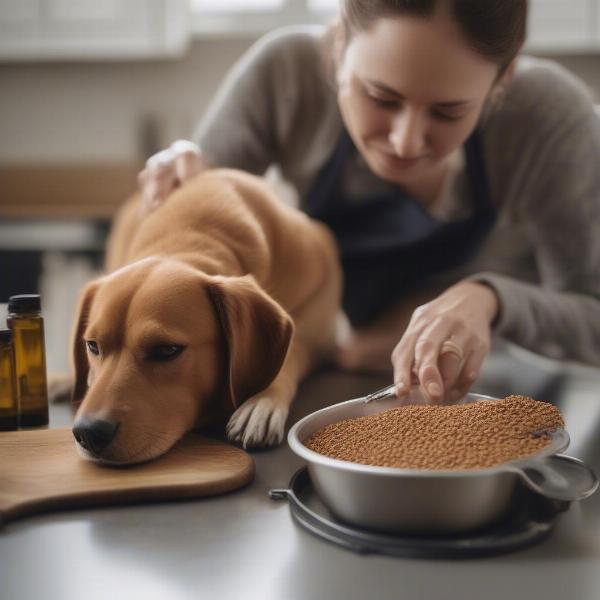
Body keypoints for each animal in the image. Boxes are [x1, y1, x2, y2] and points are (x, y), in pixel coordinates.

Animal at [69, 169, 342, 464]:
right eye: (92, 346)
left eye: (166, 350)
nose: (88, 432)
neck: (188, 240)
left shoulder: (320, 340)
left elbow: (292, 354)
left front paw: (262, 402)